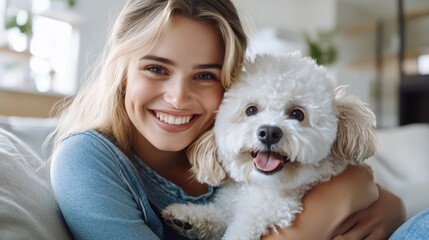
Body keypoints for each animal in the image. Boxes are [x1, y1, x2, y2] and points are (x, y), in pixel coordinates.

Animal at [162, 51, 376, 239]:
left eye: (297, 114)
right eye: (251, 110)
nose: (269, 133)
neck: (260, 185)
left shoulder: (267, 214)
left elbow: (236, 231)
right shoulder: (232, 206)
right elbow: (219, 215)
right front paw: (186, 216)